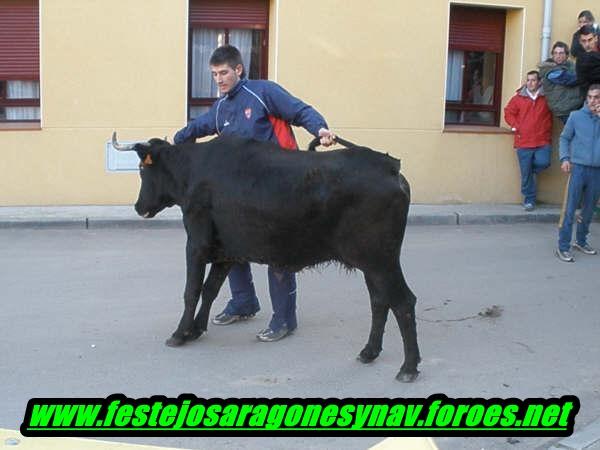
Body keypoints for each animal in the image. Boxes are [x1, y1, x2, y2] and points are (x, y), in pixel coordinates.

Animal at [113, 132, 422, 382]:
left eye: (142, 170)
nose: (139, 207)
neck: (193, 171)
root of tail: (390, 168)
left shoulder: (196, 245)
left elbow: (192, 291)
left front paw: (180, 333)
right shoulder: (227, 251)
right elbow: (210, 289)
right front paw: (196, 329)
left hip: (382, 262)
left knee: (403, 302)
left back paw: (408, 367)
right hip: (372, 265)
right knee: (380, 302)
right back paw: (369, 351)